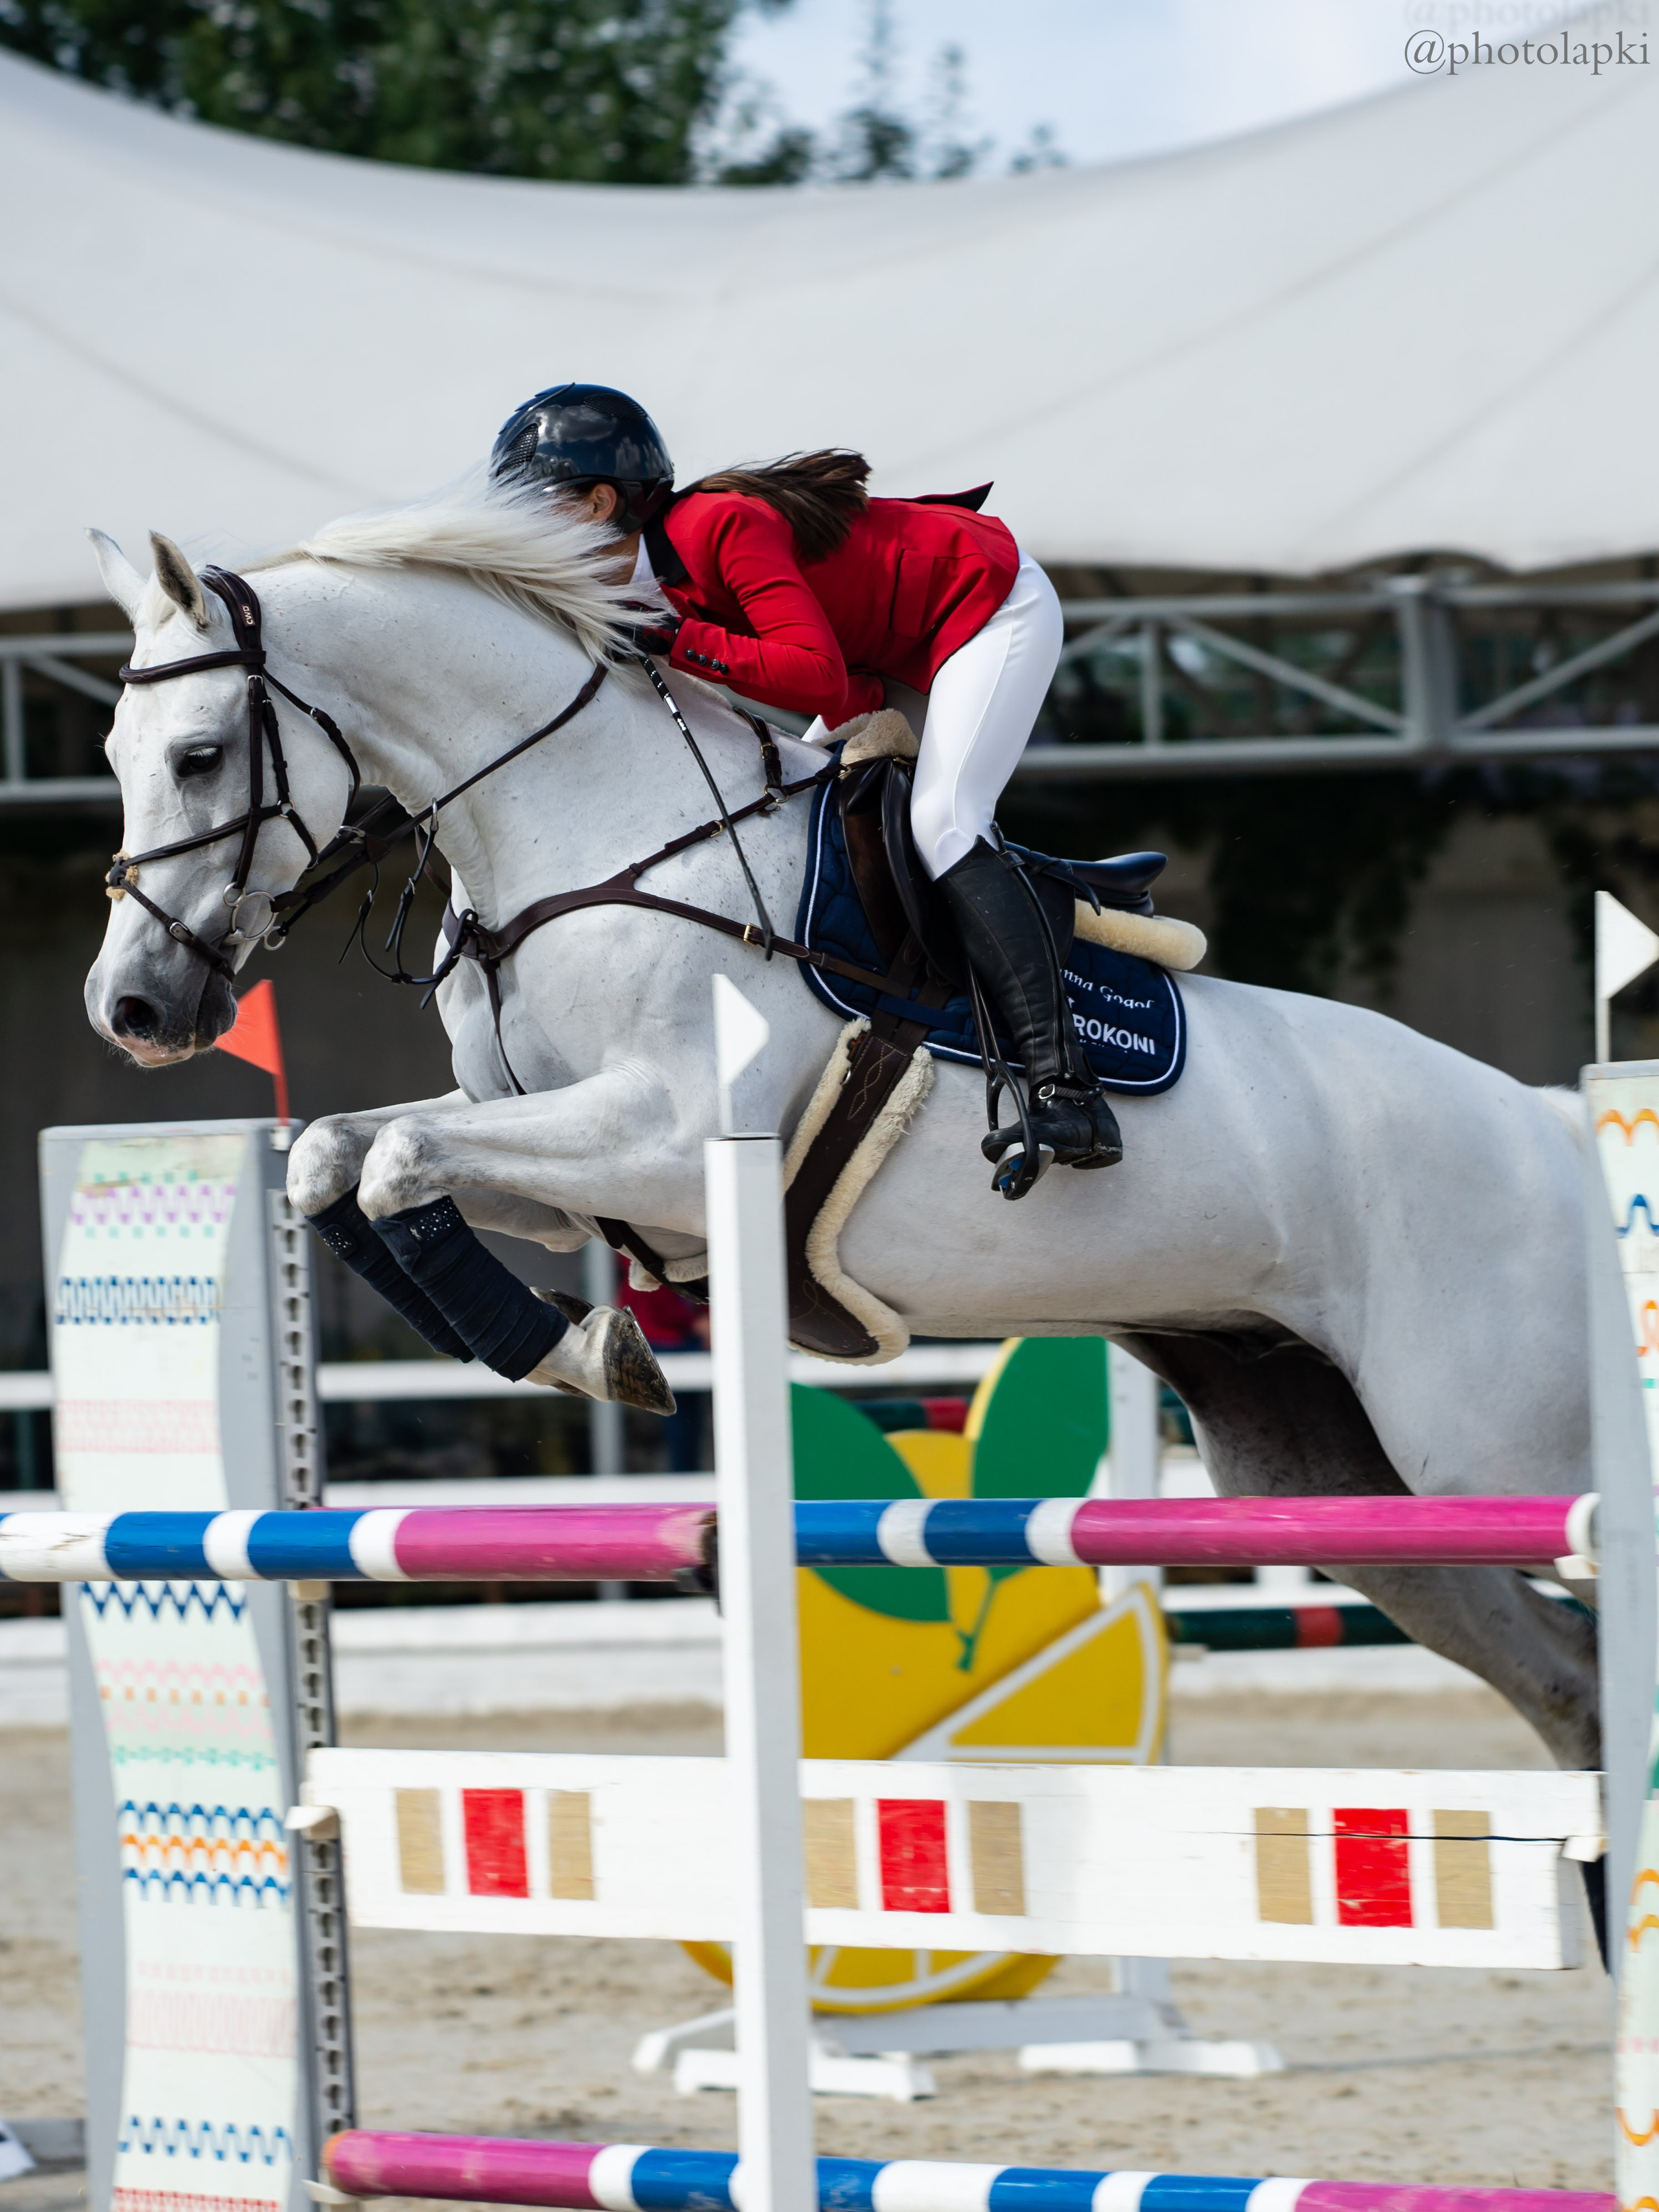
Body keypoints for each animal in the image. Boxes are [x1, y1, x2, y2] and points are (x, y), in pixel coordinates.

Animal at [82, 476, 1599, 1789]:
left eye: (200, 755)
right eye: (110, 757)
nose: (133, 1006)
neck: (583, 838)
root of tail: (1550, 1124)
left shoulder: (663, 1137)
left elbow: (393, 1159)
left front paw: (589, 1349)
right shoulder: (557, 1163)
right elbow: (340, 1153)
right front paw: (583, 1343)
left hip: (1488, 1445)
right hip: (1334, 1475)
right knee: (1568, 1680)